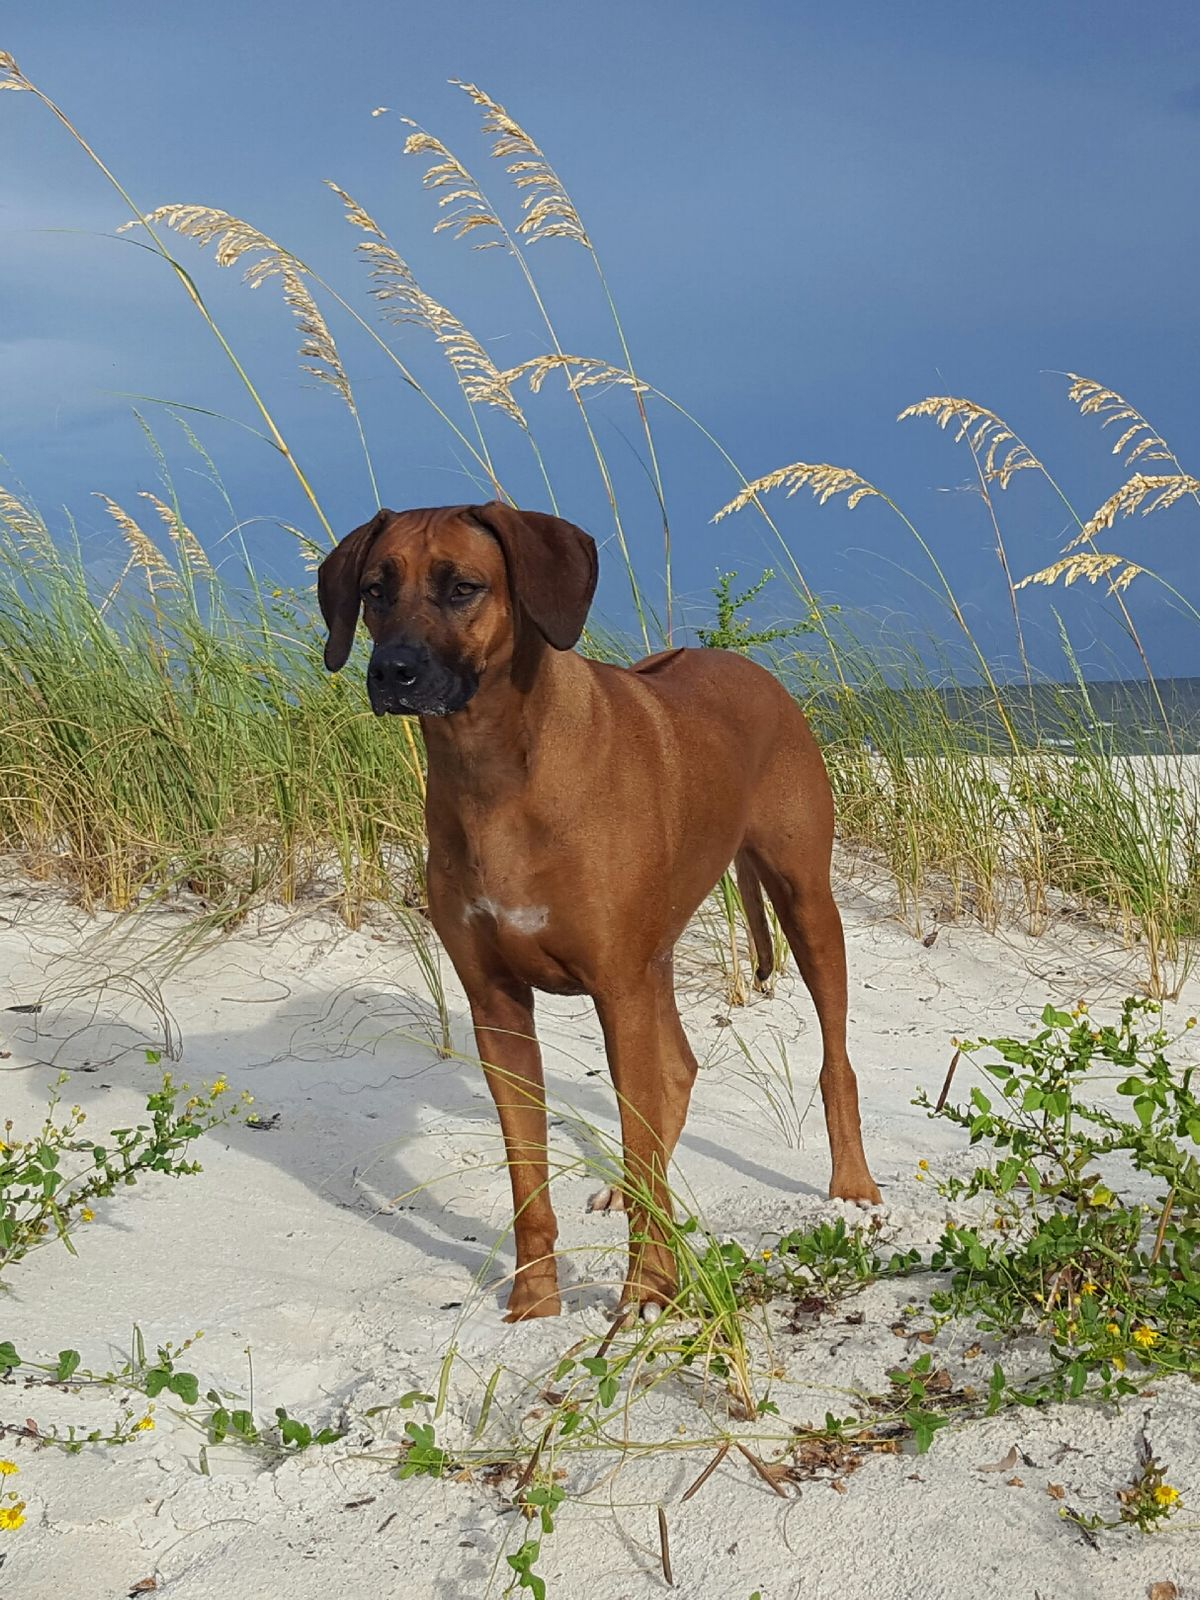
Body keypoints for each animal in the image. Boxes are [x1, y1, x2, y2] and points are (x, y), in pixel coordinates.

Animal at [320, 502, 883, 1324]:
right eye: (373, 590)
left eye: (463, 587)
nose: (392, 672)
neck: (494, 770)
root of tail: (748, 667)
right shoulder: (497, 1003)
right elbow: (527, 1175)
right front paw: (534, 1304)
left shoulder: (617, 988)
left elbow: (639, 1138)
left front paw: (648, 1293)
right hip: (658, 956)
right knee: (675, 1075)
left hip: (805, 904)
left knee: (833, 1059)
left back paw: (852, 1189)